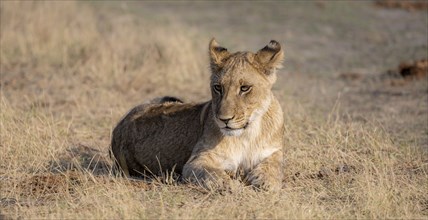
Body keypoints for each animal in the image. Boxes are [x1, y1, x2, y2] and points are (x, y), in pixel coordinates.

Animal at [111, 38, 284, 190]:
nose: (224, 120)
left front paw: (267, 180)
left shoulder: (273, 151)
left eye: (245, 88)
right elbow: (211, 173)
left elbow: (274, 165)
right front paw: (229, 183)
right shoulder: (196, 161)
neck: (247, 134)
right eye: (218, 87)